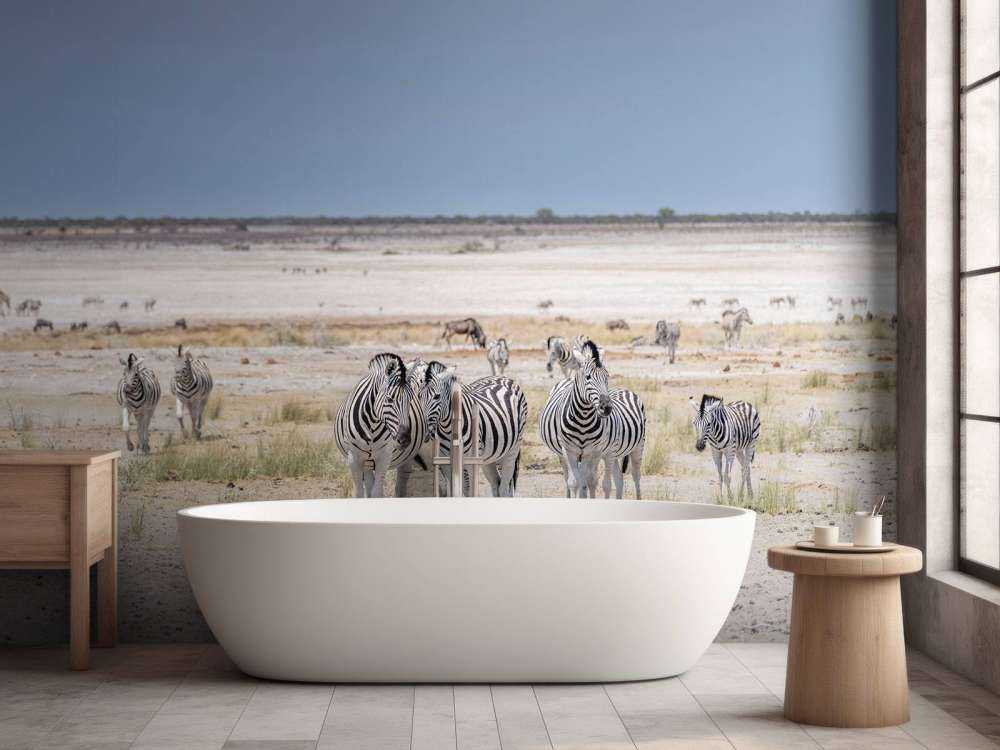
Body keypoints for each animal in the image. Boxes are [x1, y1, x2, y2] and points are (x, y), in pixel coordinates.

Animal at [334, 353, 420, 497]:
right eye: (389, 399)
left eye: (410, 400)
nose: (404, 440)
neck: (372, 425)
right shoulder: (353, 459)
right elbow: (359, 493)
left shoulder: (384, 458)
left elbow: (376, 493)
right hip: (367, 462)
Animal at [423, 367, 527, 497]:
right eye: (418, 397)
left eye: (437, 397)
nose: (426, 432)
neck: (448, 429)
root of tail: (504, 377)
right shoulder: (445, 463)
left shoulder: (470, 462)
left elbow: (469, 491)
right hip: (489, 457)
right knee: (496, 485)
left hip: (512, 450)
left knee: (504, 488)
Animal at [539, 340, 612, 498]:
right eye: (588, 377)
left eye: (607, 377)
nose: (606, 408)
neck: (583, 418)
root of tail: (568, 379)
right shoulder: (569, 450)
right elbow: (573, 482)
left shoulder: (590, 451)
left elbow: (586, 482)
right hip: (562, 454)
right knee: (567, 477)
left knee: (588, 479)